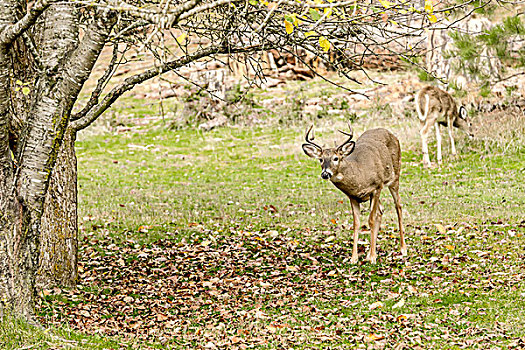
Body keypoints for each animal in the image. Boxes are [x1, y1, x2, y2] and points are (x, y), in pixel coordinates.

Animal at [300, 124, 408, 264]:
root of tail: (391, 133)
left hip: (395, 175)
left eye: (336, 158)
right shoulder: (353, 197)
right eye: (320, 159)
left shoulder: (377, 187)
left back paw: (403, 249)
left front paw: (373, 258)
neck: (359, 175)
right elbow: (356, 224)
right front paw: (354, 258)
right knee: (381, 210)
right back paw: (369, 254)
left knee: (398, 206)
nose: (325, 173)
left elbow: (371, 220)